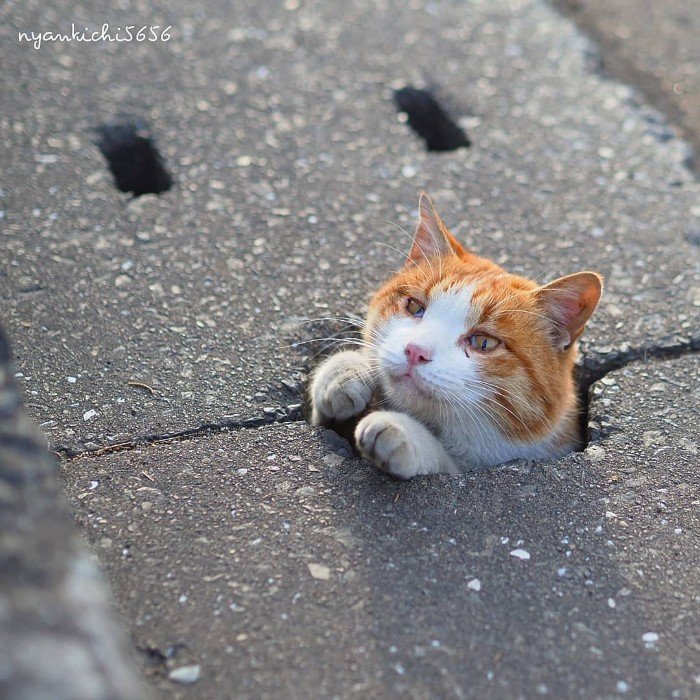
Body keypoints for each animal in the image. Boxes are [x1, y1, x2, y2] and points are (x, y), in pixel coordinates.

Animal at [312, 191, 600, 478]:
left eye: (483, 342)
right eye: (414, 307)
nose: (415, 351)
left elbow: (445, 463)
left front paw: (404, 433)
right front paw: (346, 371)